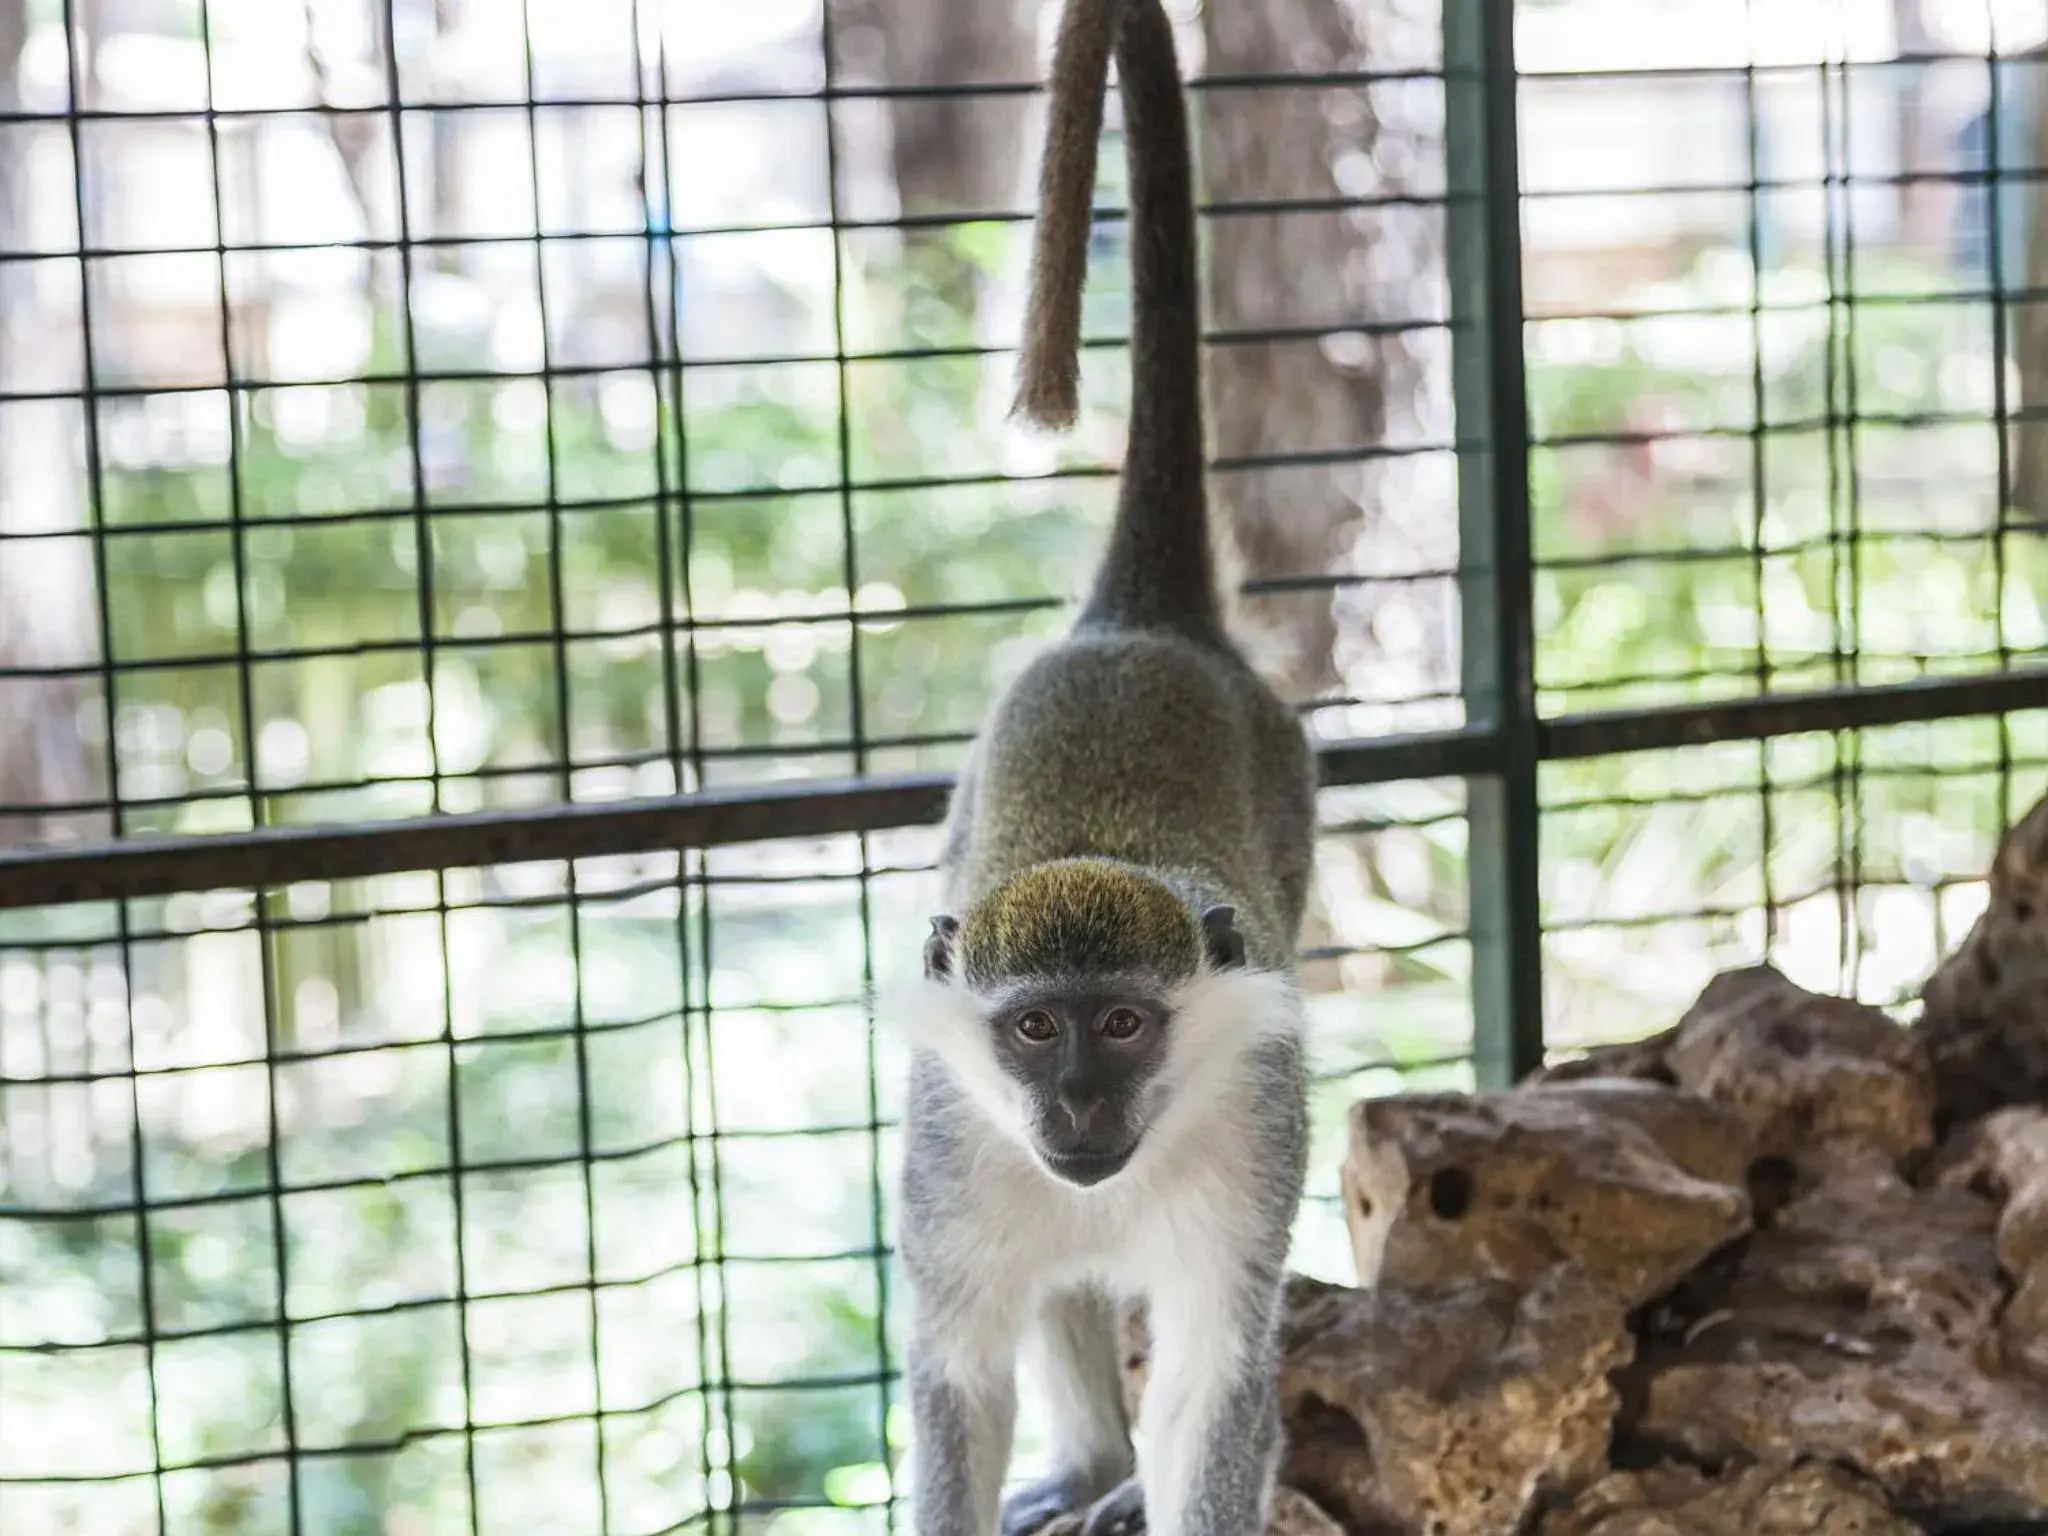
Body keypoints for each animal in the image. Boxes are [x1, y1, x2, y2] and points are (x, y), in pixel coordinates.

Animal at [892, 0, 1310, 1531]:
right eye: (1034, 1030)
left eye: (1122, 1023)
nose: (1074, 1105)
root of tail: (1139, 623)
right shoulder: (953, 1151)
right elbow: (957, 1379)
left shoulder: (1255, 1137)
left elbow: (1215, 1386)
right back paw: (1088, 1463)